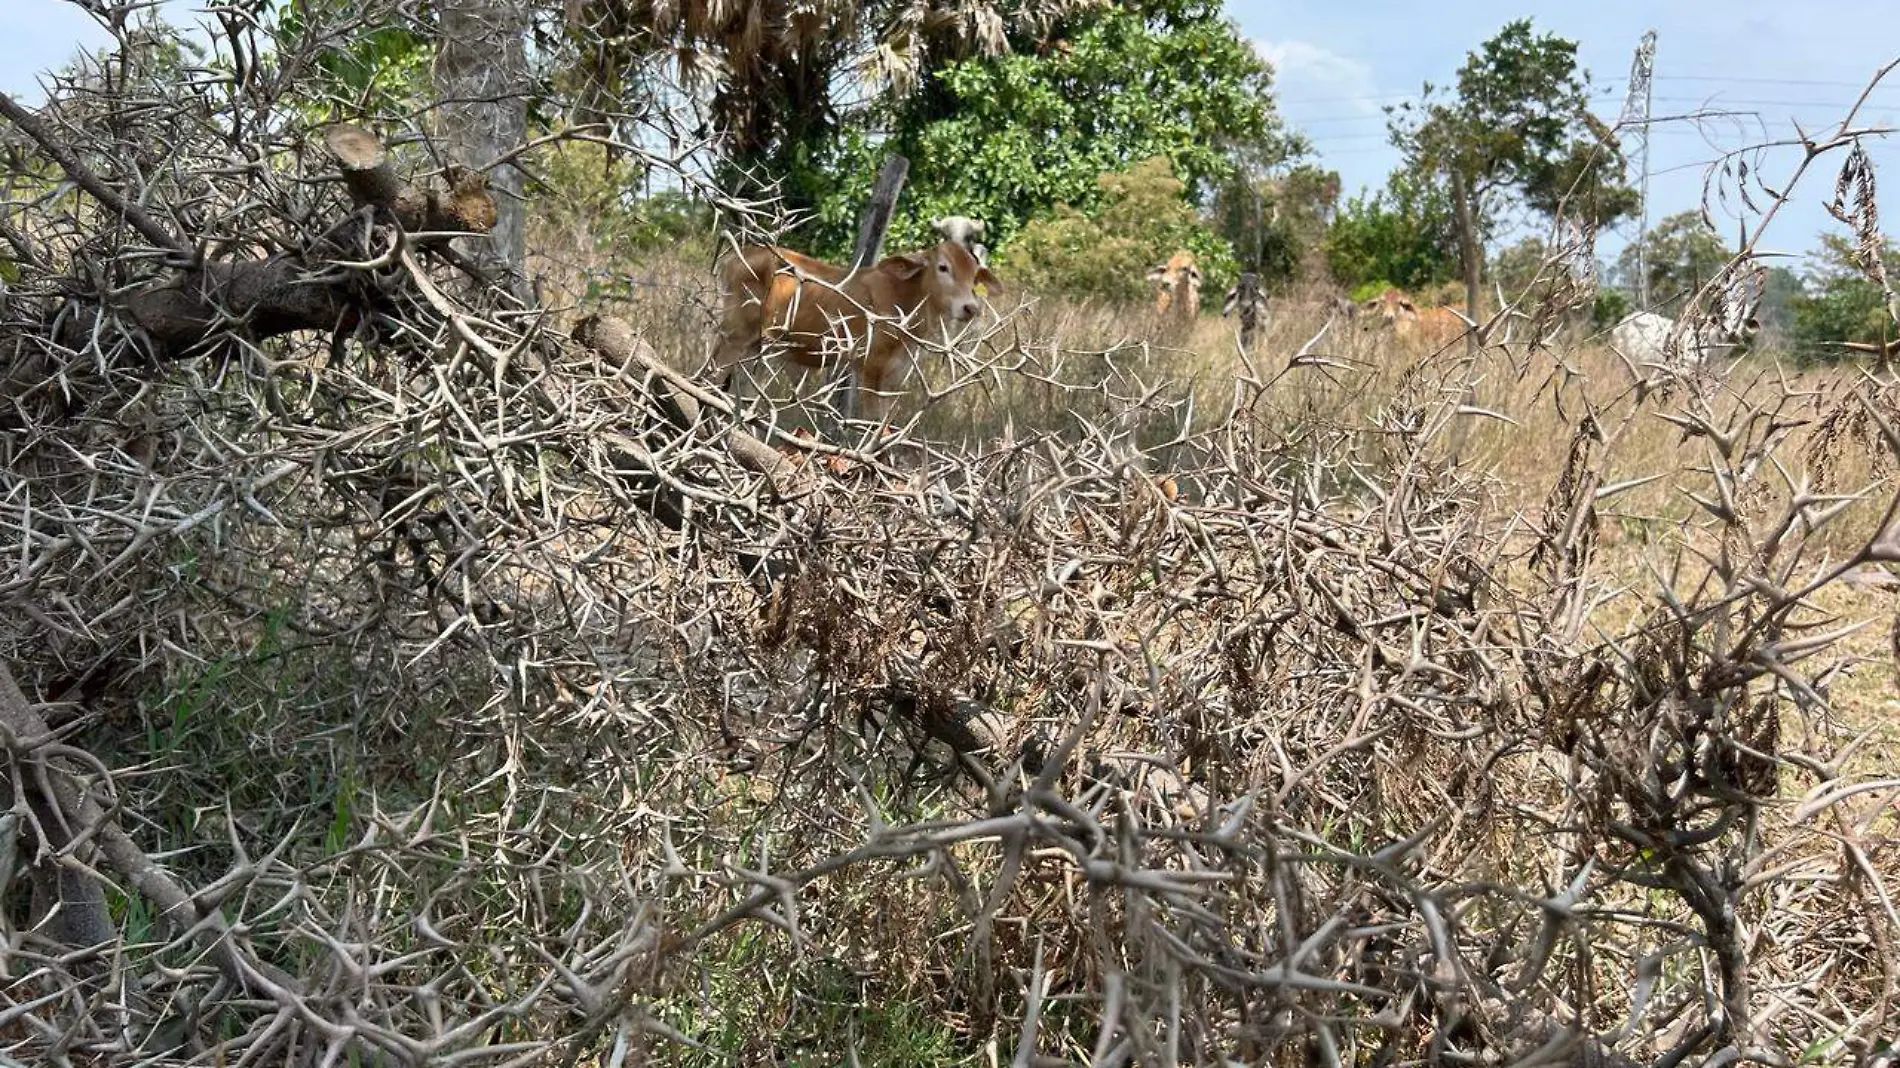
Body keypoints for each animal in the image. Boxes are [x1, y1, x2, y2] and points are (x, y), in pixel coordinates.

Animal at [710, 239, 1003, 421]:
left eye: (974, 276)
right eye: (943, 267)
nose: (969, 307)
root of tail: (738, 256)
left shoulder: (894, 377)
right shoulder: (870, 369)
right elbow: (872, 422)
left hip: (757, 348)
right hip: (736, 336)